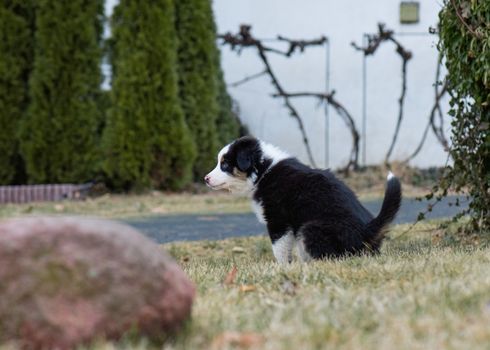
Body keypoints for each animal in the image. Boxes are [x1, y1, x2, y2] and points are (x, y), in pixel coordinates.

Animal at [205, 135, 400, 264]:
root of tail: (367, 230)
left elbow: (280, 248)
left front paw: (282, 268)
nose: (206, 179)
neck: (264, 170)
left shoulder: (278, 220)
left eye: (225, 165)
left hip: (310, 228)